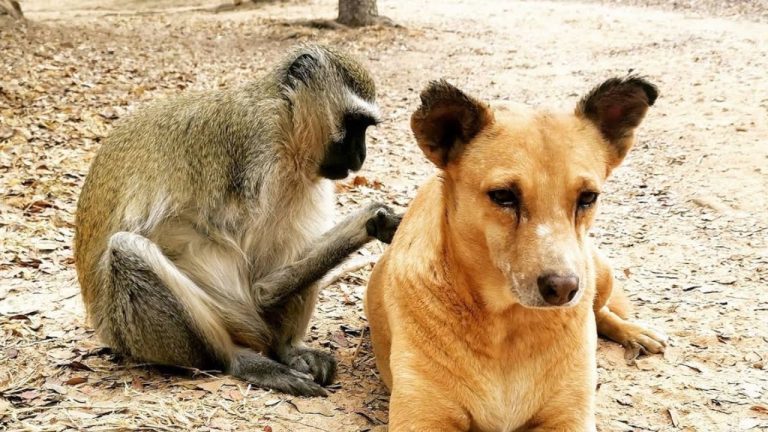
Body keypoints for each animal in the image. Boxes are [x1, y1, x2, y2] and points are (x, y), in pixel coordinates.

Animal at [74, 43, 400, 394]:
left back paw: (287, 349)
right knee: (126, 249)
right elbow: (260, 288)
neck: (285, 122)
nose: (361, 155)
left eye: (364, 127)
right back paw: (238, 360)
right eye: (355, 124)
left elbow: (265, 285)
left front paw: (376, 220)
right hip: (133, 331)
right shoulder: (258, 152)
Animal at [364, 78, 664, 432]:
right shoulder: (422, 417)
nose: (564, 288)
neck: (506, 322)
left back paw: (634, 331)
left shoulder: (570, 416)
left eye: (588, 197)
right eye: (503, 196)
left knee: (600, 311)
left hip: (600, 272)